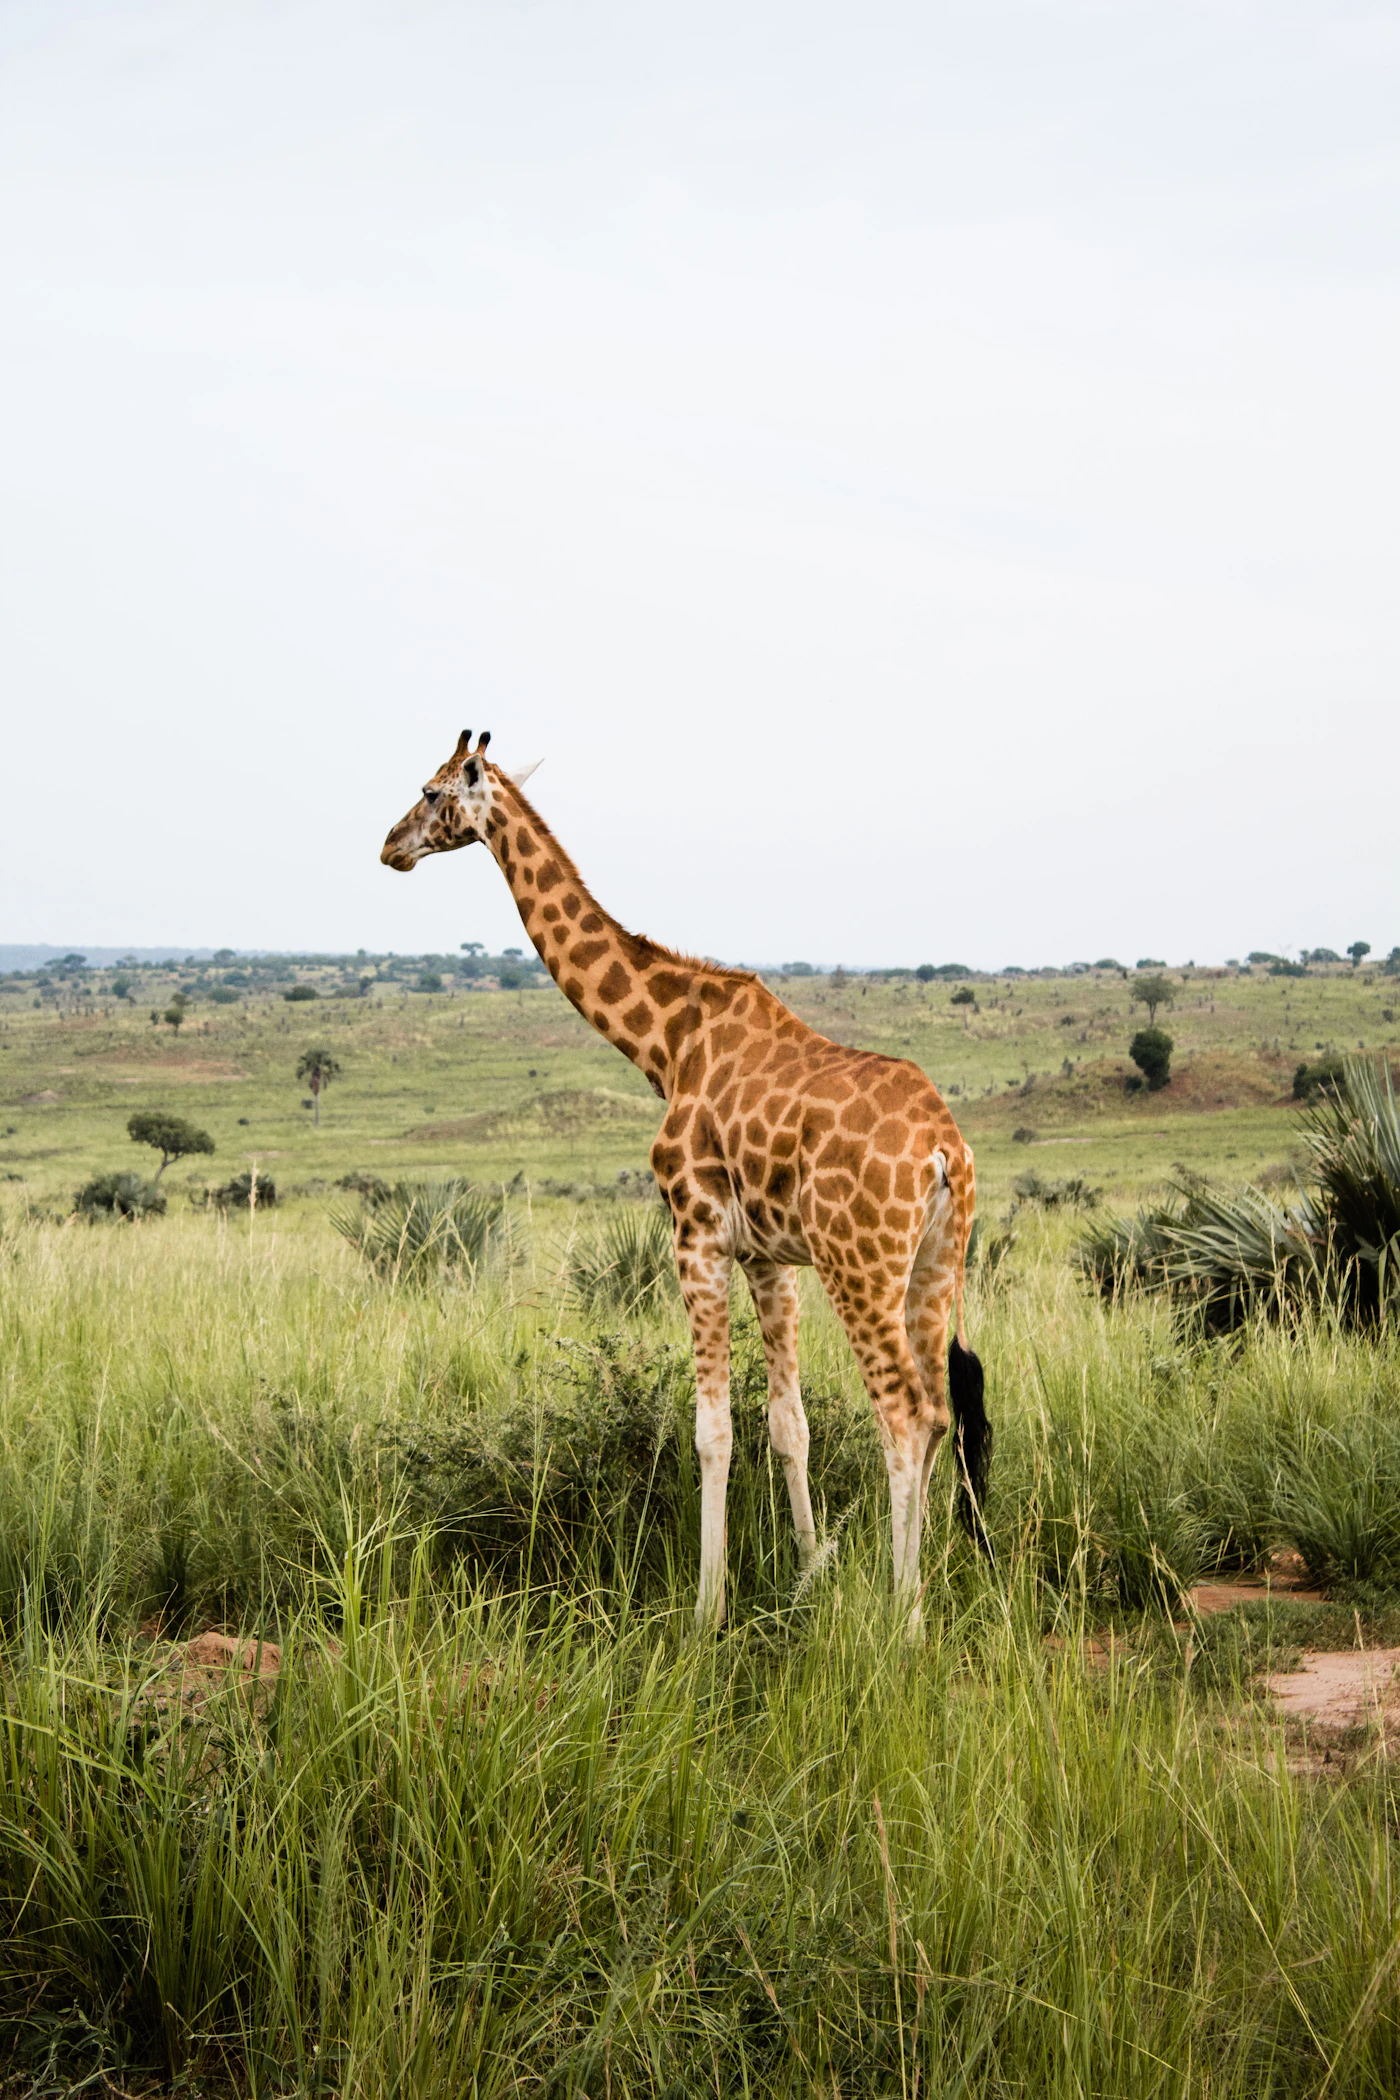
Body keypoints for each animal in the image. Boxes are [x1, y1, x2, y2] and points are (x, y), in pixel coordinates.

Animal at [382, 731, 991, 1628]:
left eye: (431, 792)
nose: (389, 847)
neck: (666, 1043)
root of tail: (945, 1150)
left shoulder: (694, 1234)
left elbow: (712, 1430)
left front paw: (708, 1610)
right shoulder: (768, 1257)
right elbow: (787, 1423)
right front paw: (808, 1576)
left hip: (861, 1265)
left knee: (905, 1416)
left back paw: (904, 1616)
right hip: (936, 1262)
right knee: (941, 1411)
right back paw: (914, 1596)